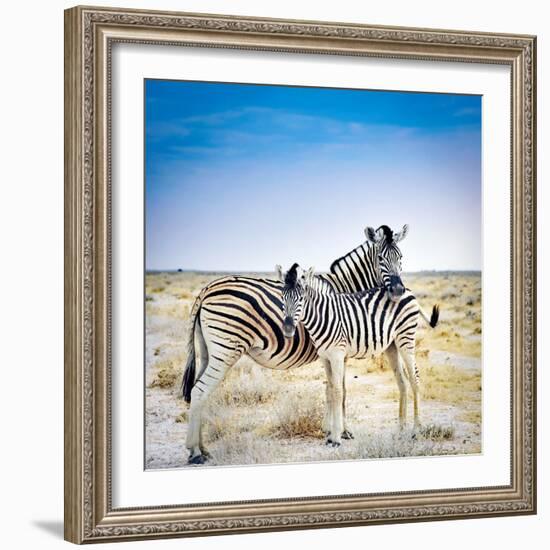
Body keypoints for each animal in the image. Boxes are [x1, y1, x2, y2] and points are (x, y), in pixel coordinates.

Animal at [183, 224, 412, 466]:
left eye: (401, 257)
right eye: (380, 258)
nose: (398, 291)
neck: (345, 291)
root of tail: (207, 288)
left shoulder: (331, 351)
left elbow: (331, 388)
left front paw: (330, 430)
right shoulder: (340, 351)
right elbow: (341, 390)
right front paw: (342, 431)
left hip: (208, 351)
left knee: (200, 391)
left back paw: (202, 449)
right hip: (226, 350)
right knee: (199, 390)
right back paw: (195, 451)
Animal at [282, 264, 442, 448]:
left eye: (301, 299)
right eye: (282, 298)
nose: (287, 329)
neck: (323, 315)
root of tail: (407, 291)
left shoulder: (337, 355)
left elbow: (337, 391)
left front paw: (336, 437)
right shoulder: (325, 357)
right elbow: (330, 389)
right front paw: (330, 434)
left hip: (406, 337)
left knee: (415, 378)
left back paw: (416, 431)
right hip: (392, 345)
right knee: (402, 382)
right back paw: (400, 431)